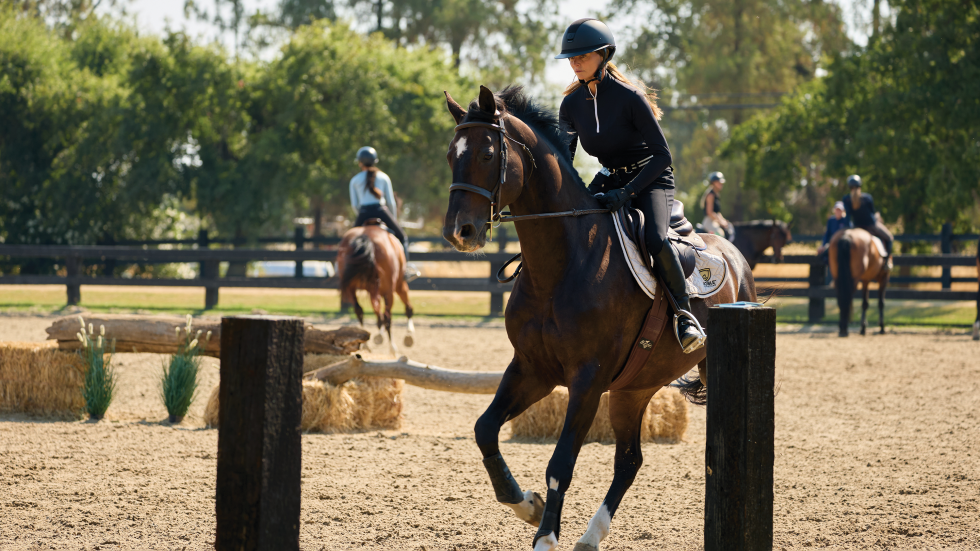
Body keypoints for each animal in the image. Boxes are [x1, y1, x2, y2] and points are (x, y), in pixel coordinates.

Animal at [441, 85, 757, 551]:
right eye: (451, 155)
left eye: (486, 154)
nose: (458, 232)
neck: (561, 263)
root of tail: (735, 255)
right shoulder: (532, 370)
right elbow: (484, 430)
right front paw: (525, 504)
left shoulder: (586, 380)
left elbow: (560, 463)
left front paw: (545, 536)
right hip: (632, 390)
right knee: (629, 460)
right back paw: (592, 535)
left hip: (699, 368)